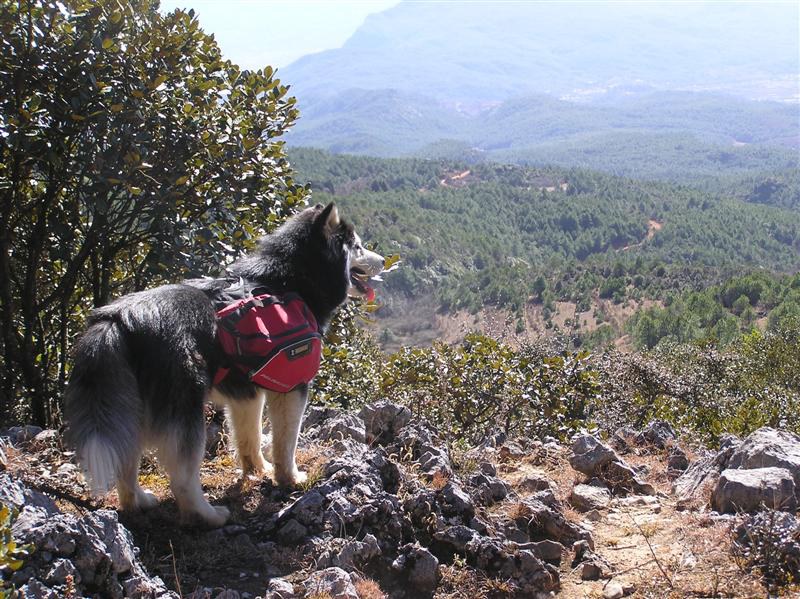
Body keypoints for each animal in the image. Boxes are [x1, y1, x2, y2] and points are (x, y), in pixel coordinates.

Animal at [65, 204, 384, 528]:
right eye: (358, 246)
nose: (384, 260)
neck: (289, 282)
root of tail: (116, 321)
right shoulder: (291, 387)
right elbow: (285, 443)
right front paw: (290, 478)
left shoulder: (245, 392)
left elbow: (249, 438)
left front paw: (258, 470)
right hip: (187, 411)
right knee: (182, 478)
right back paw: (208, 515)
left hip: (129, 409)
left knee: (125, 462)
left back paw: (138, 502)